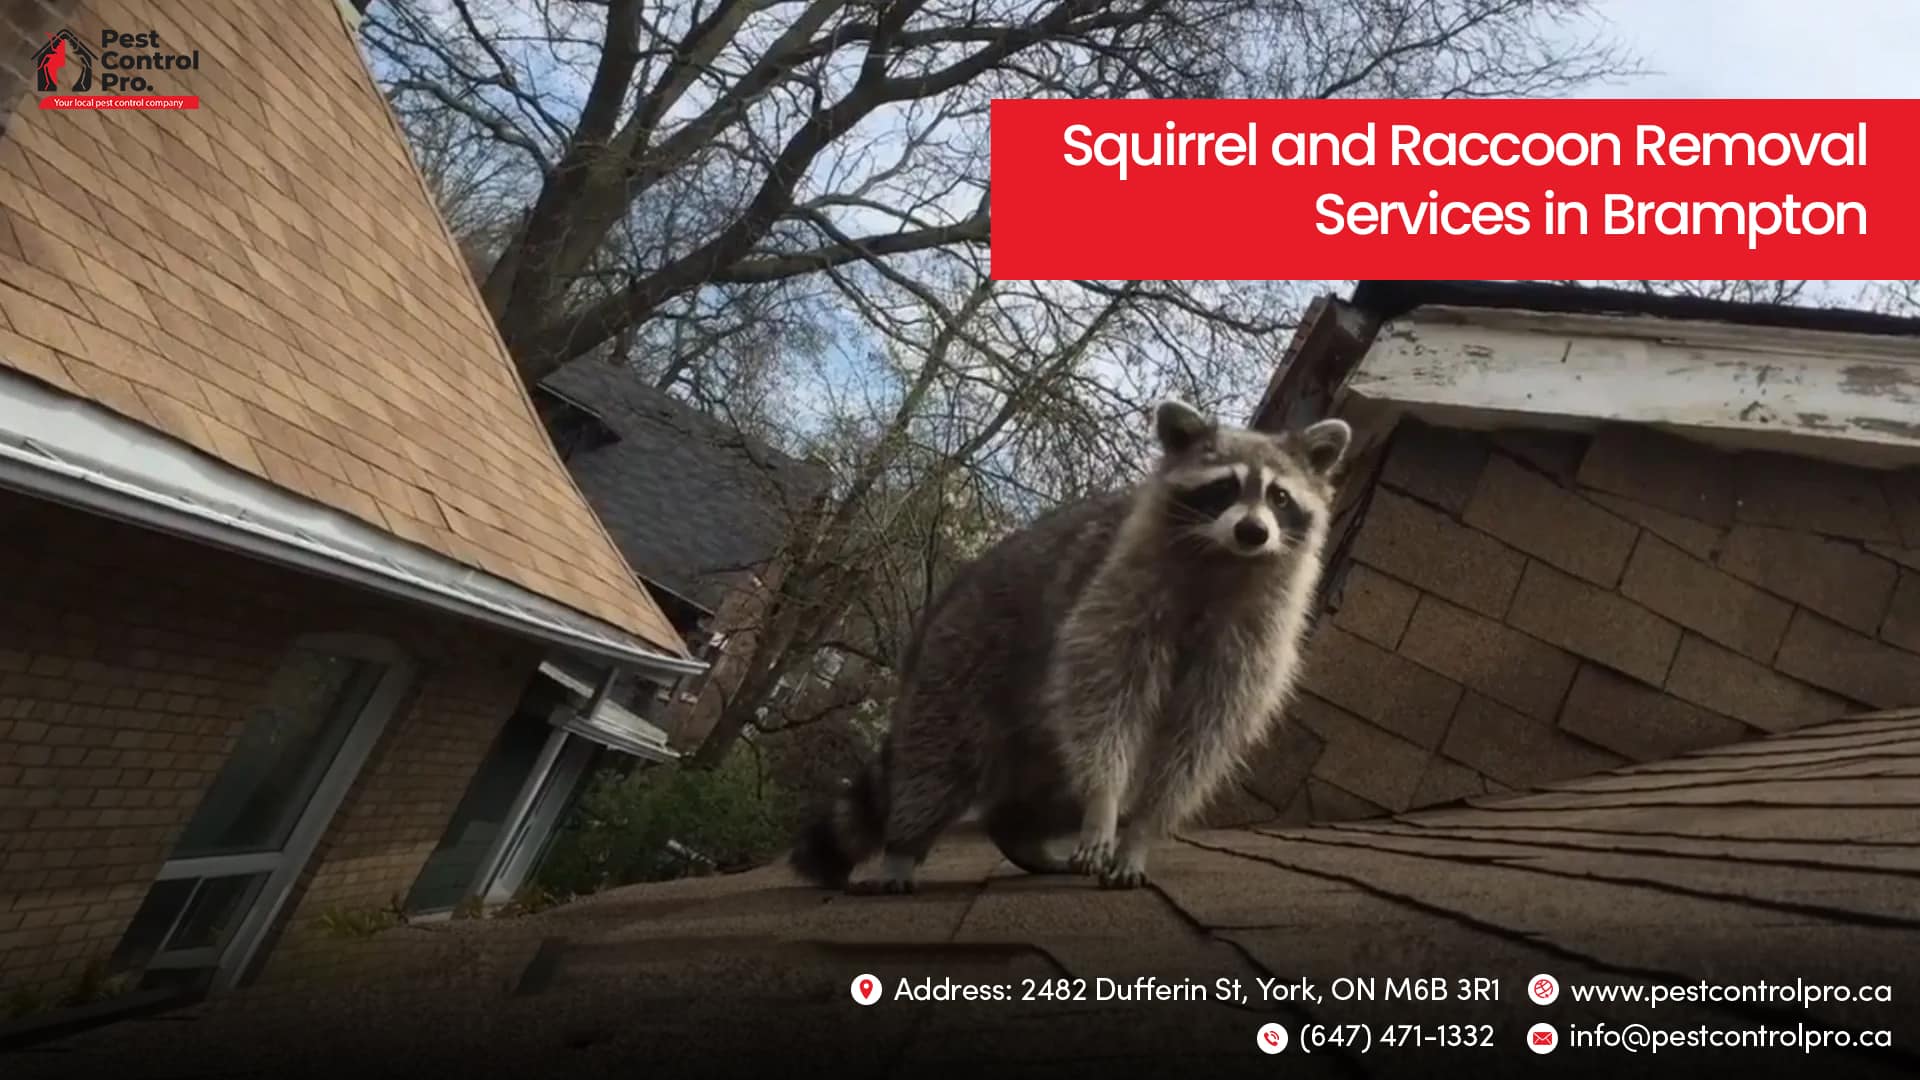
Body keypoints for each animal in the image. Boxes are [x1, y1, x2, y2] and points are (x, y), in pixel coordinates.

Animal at [789, 400, 1351, 893]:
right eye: (1224, 487)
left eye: (1280, 498)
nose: (1254, 531)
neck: (1224, 560)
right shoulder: (1121, 588)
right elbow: (1104, 690)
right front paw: (1104, 803)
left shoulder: (1254, 636)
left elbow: (1202, 735)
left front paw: (1141, 830)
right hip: (967, 655)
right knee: (941, 756)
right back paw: (905, 847)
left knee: (1043, 786)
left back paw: (1018, 834)